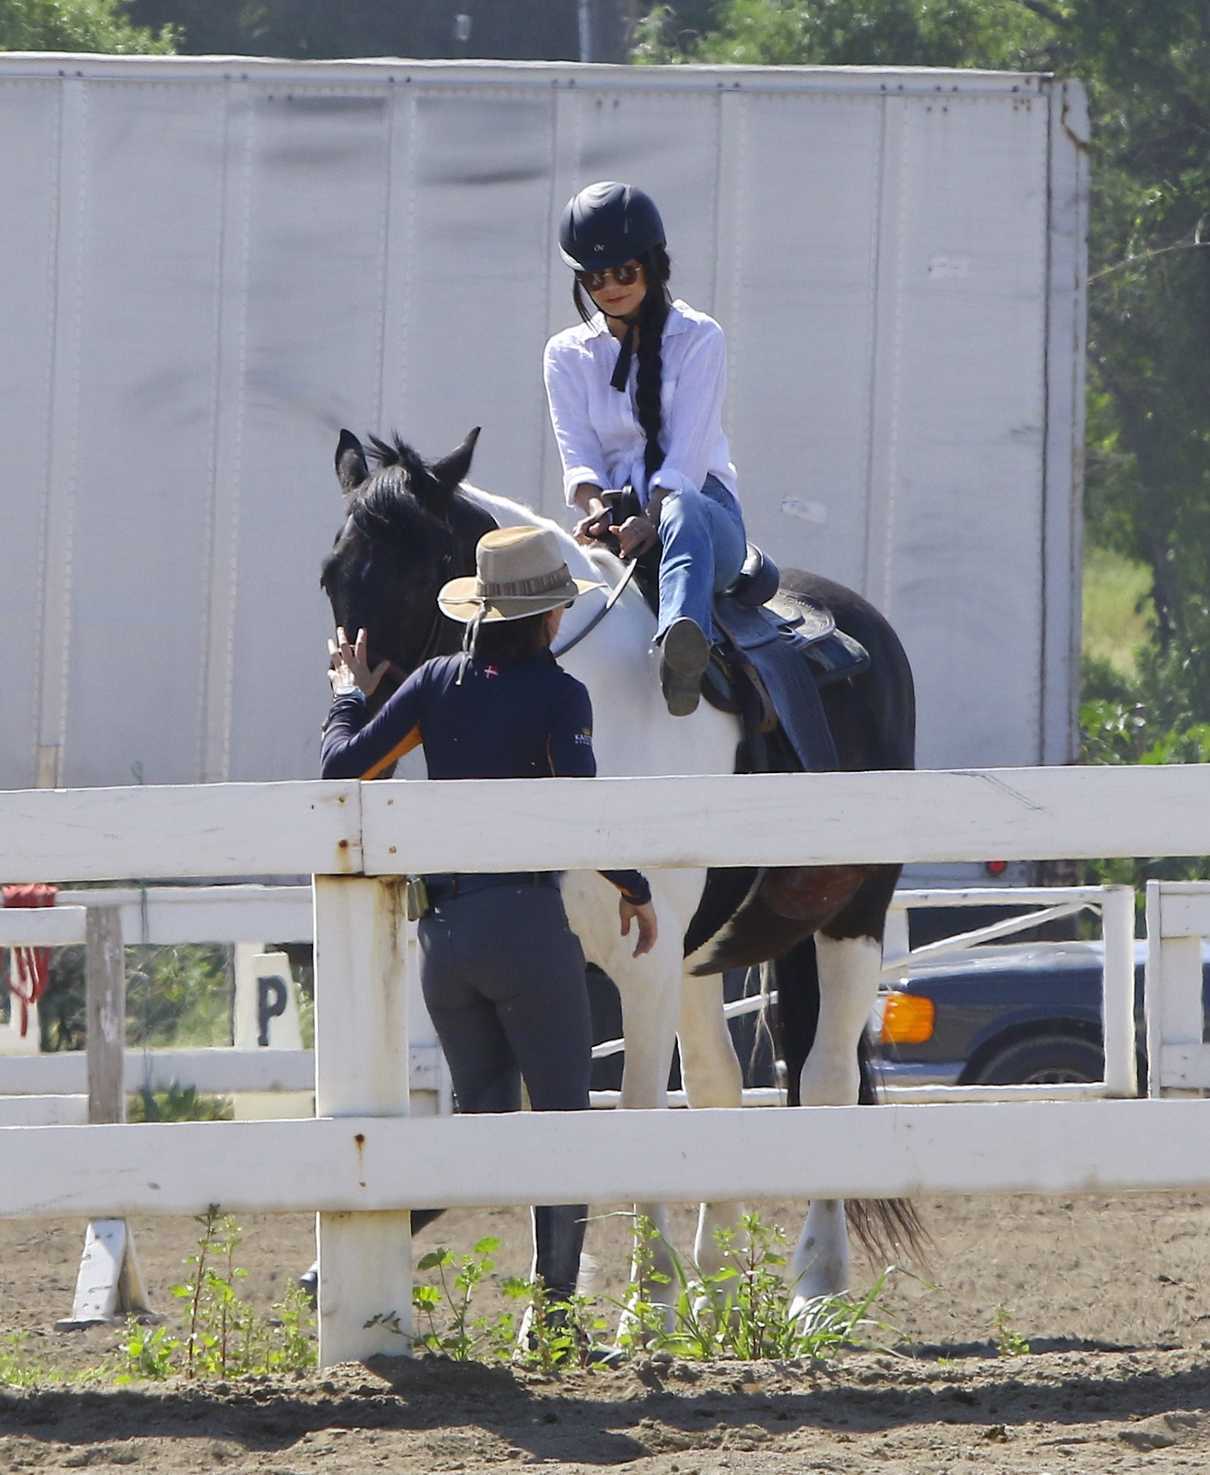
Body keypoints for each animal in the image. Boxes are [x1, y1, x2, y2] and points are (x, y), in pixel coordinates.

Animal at [317, 424, 920, 1315]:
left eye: (421, 570)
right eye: (333, 574)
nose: (367, 729)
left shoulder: (642, 964)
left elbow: (634, 1110)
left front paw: (649, 1303)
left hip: (851, 917)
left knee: (826, 1079)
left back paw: (814, 1285)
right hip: (708, 953)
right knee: (720, 1085)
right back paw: (717, 1284)